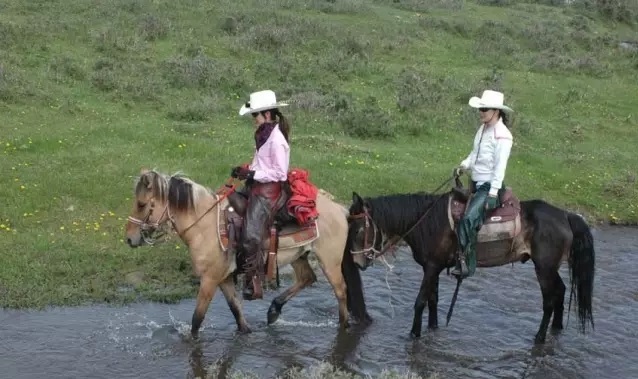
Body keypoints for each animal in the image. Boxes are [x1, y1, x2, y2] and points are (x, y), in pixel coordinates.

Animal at [125, 169, 352, 338]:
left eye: (141, 204)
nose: (129, 239)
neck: (205, 225)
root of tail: (340, 209)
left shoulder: (209, 279)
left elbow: (197, 319)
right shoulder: (224, 278)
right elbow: (236, 310)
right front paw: (246, 331)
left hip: (330, 261)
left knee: (341, 290)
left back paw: (344, 325)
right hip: (299, 256)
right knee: (307, 278)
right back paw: (273, 311)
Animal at [342, 177, 596, 346]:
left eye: (358, 230)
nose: (358, 263)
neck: (427, 221)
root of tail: (566, 216)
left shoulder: (431, 267)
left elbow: (420, 302)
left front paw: (413, 334)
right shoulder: (433, 267)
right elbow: (433, 300)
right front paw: (432, 329)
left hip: (543, 268)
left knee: (549, 301)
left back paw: (540, 337)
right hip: (551, 268)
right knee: (561, 291)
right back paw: (556, 329)